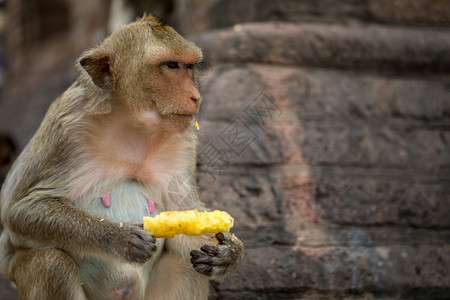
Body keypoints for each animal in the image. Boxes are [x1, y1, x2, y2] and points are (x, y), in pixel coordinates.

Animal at [0, 14, 243, 300]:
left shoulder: (183, 140)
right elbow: (21, 210)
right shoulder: (66, 128)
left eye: (190, 67)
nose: (195, 96)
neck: (133, 123)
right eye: (171, 65)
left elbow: (183, 213)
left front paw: (230, 252)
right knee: (51, 263)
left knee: (186, 264)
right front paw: (121, 238)